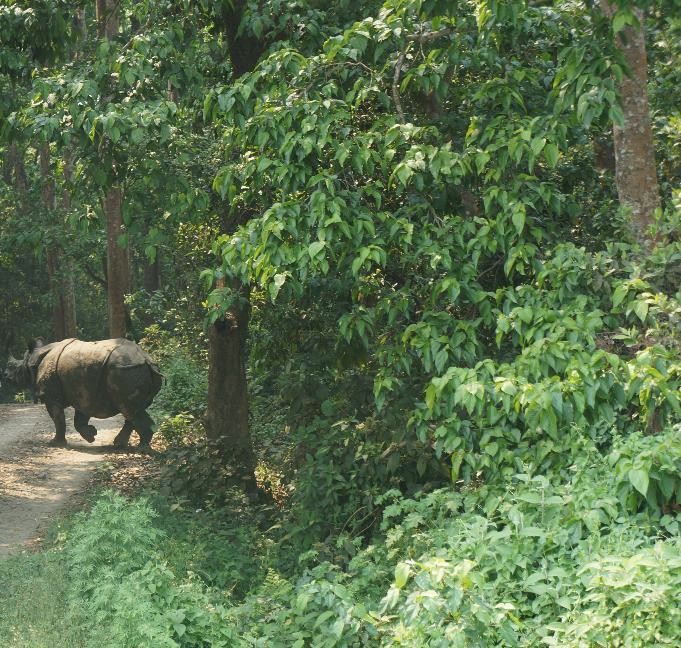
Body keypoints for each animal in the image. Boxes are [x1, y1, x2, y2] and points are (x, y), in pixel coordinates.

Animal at [3, 338, 163, 448]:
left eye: (14, 367)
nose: (5, 376)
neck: (32, 360)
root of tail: (147, 360)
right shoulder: (84, 393)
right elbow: (79, 419)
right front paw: (91, 435)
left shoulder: (51, 396)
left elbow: (58, 419)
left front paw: (55, 444)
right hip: (134, 370)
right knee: (133, 410)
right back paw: (121, 445)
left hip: (126, 370)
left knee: (129, 409)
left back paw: (141, 448)